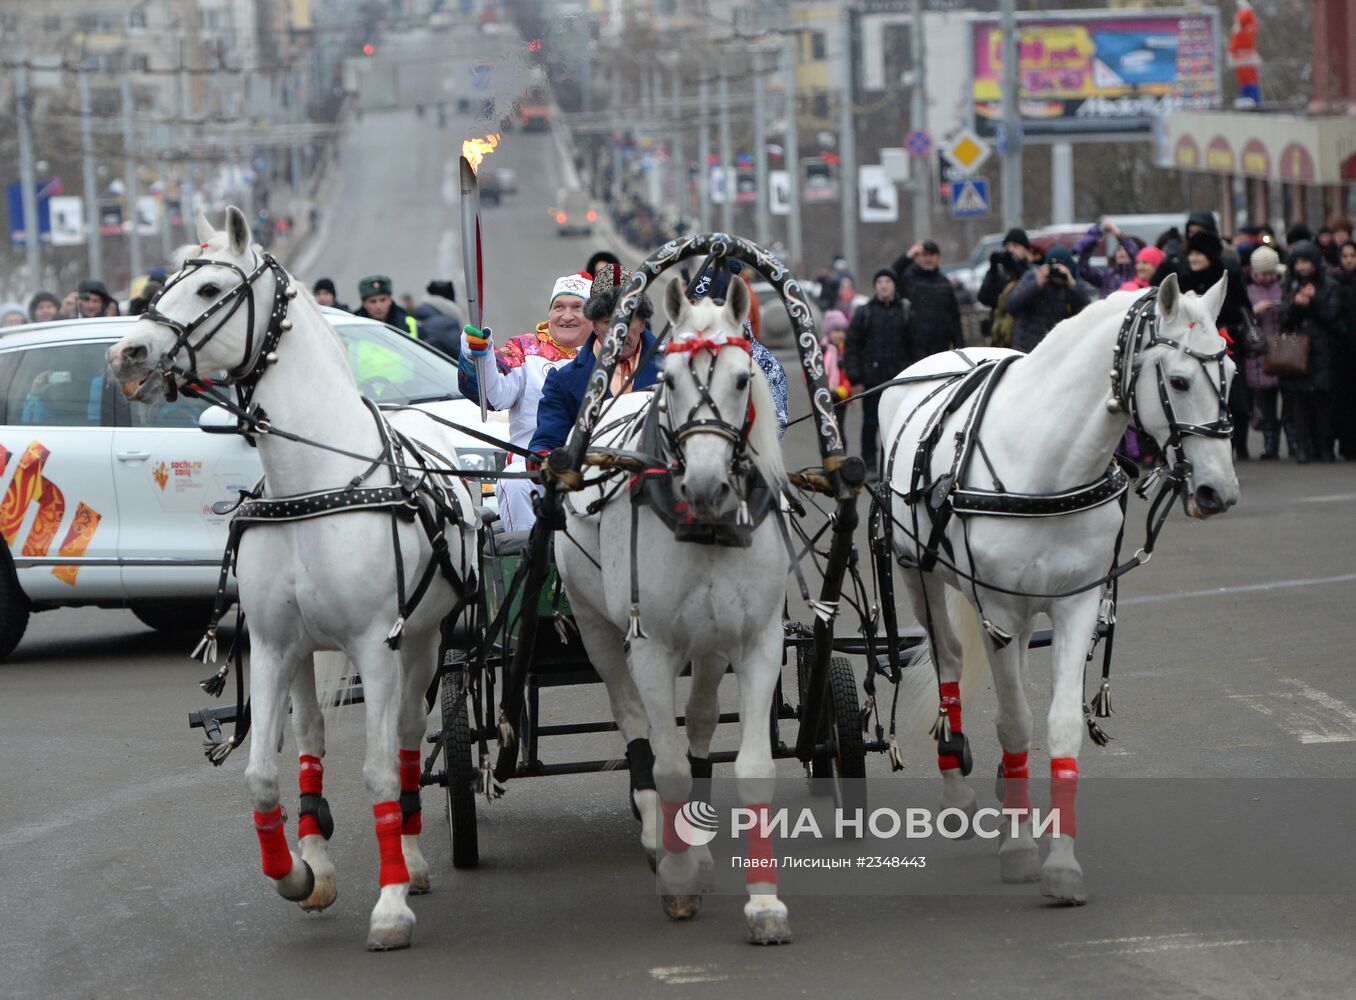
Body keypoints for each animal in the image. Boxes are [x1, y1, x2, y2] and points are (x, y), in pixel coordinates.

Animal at [105, 206, 477, 949]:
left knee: (404, 743)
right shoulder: (276, 646)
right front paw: (297, 873)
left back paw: (413, 856)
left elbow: (379, 773)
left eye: (210, 287)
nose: (126, 355)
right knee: (311, 741)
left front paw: (391, 904)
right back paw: (316, 850)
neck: (314, 481)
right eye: (164, 283)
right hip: (308, 653)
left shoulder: (377, 646)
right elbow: (260, 776)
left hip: (423, 644)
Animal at [553, 279, 791, 944]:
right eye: (673, 377)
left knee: (703, 718)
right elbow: (669, 767)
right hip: (597, 627)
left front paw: (765, 904)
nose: (707, 486)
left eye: (742, 378)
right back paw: (658, 832)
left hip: (710, 645)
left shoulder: (757, 641)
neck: (706, 529)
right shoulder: (651, 646)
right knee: (633, 718)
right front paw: (679, 879)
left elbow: (749, 764)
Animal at [878, 275, 1242, 906]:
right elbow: (1014, 722)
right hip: (914, 571)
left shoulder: (1074, 604)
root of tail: (952, 351)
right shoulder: (997, 608)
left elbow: (1060, 724)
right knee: (949, 658)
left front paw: (1061, 863)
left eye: (1233, 375)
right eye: (1178, 381)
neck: (1045, 466)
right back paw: (957, 788)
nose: (1220, 491)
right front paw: (1022, 850)